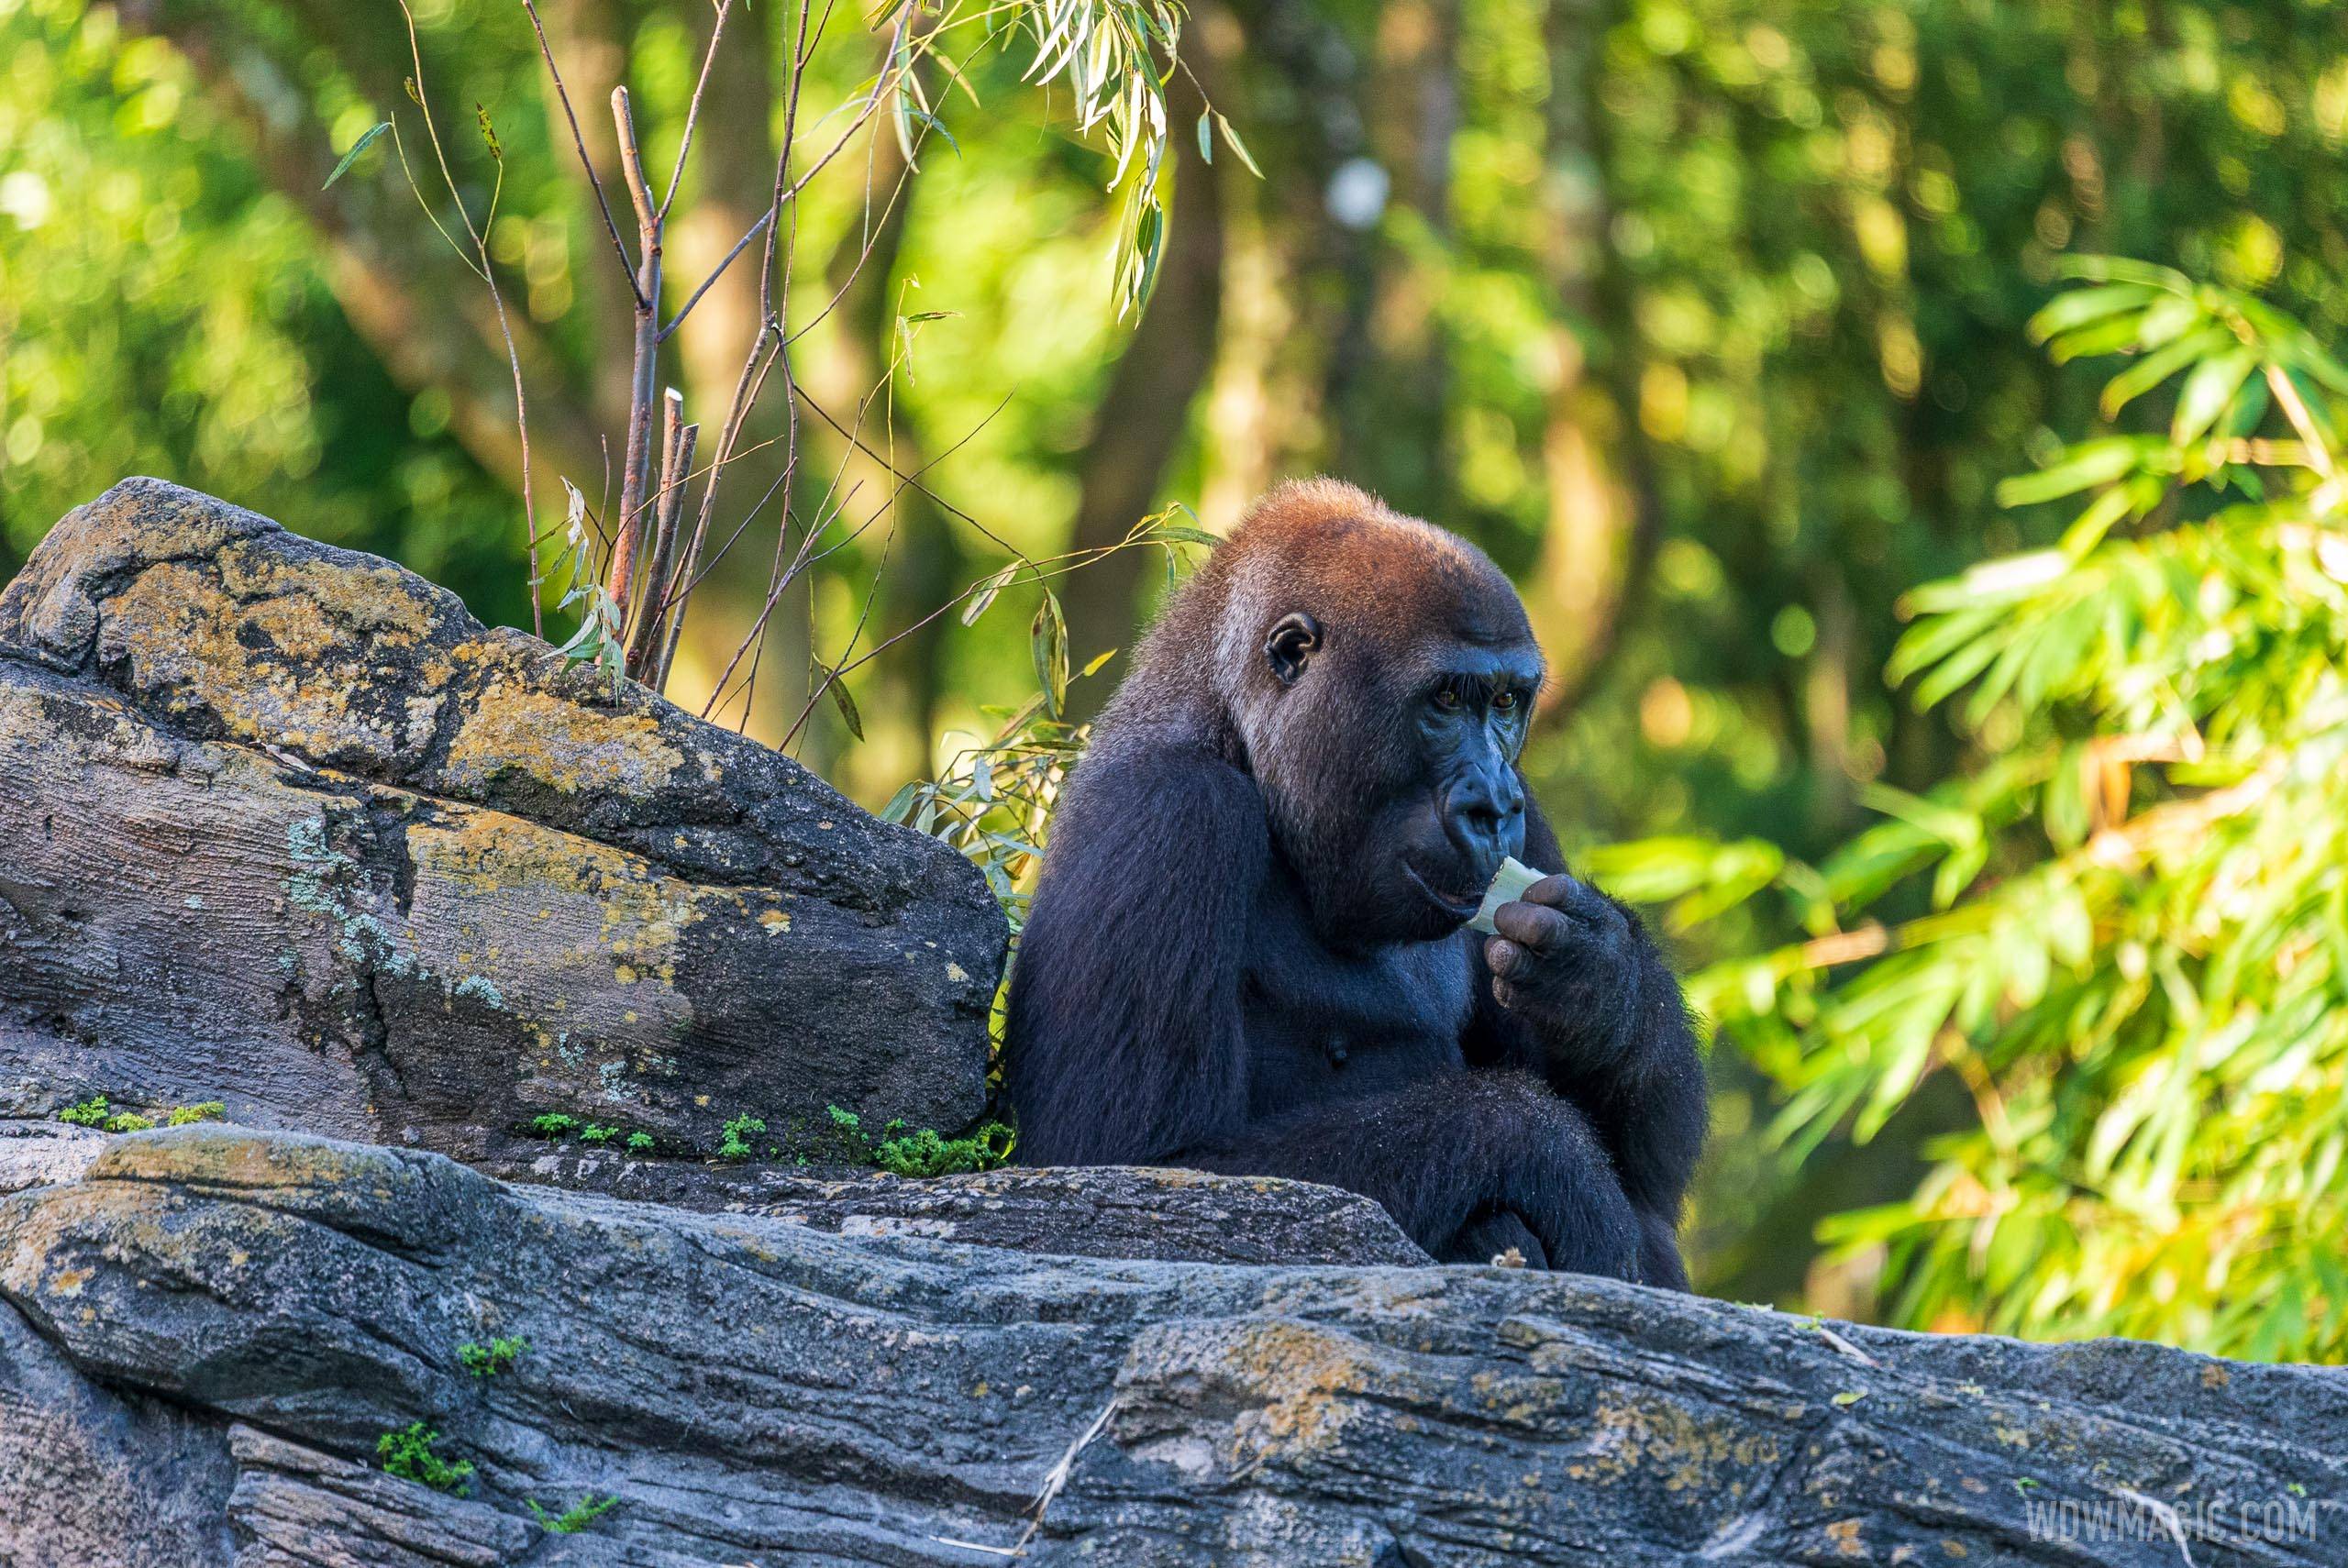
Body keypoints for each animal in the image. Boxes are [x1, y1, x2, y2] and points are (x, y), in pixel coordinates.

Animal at [1002, 478, 1705, 1284]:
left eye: (1504, 703)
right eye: (1445, 700)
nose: (1495, 807)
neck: (1236, 733)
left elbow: (1648, 1176)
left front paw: (1599, 979)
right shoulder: (1169, 812)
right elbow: (1130, 1164)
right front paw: (1545, 1148)